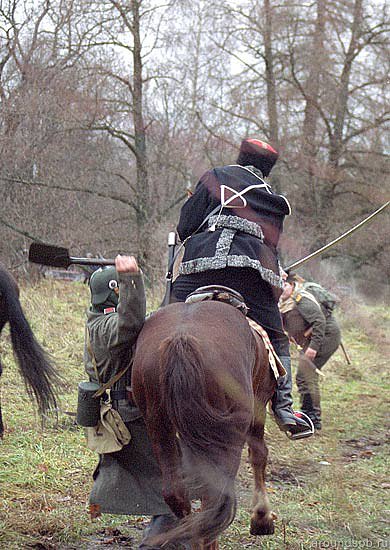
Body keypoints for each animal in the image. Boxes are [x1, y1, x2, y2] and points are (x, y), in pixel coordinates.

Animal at [133, 302, 278, 550]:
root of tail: (180, 340)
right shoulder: (259, 403)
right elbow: (259, 455)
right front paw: (262, 518)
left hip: (158, 423)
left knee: (176, 492)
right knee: (215, 496)